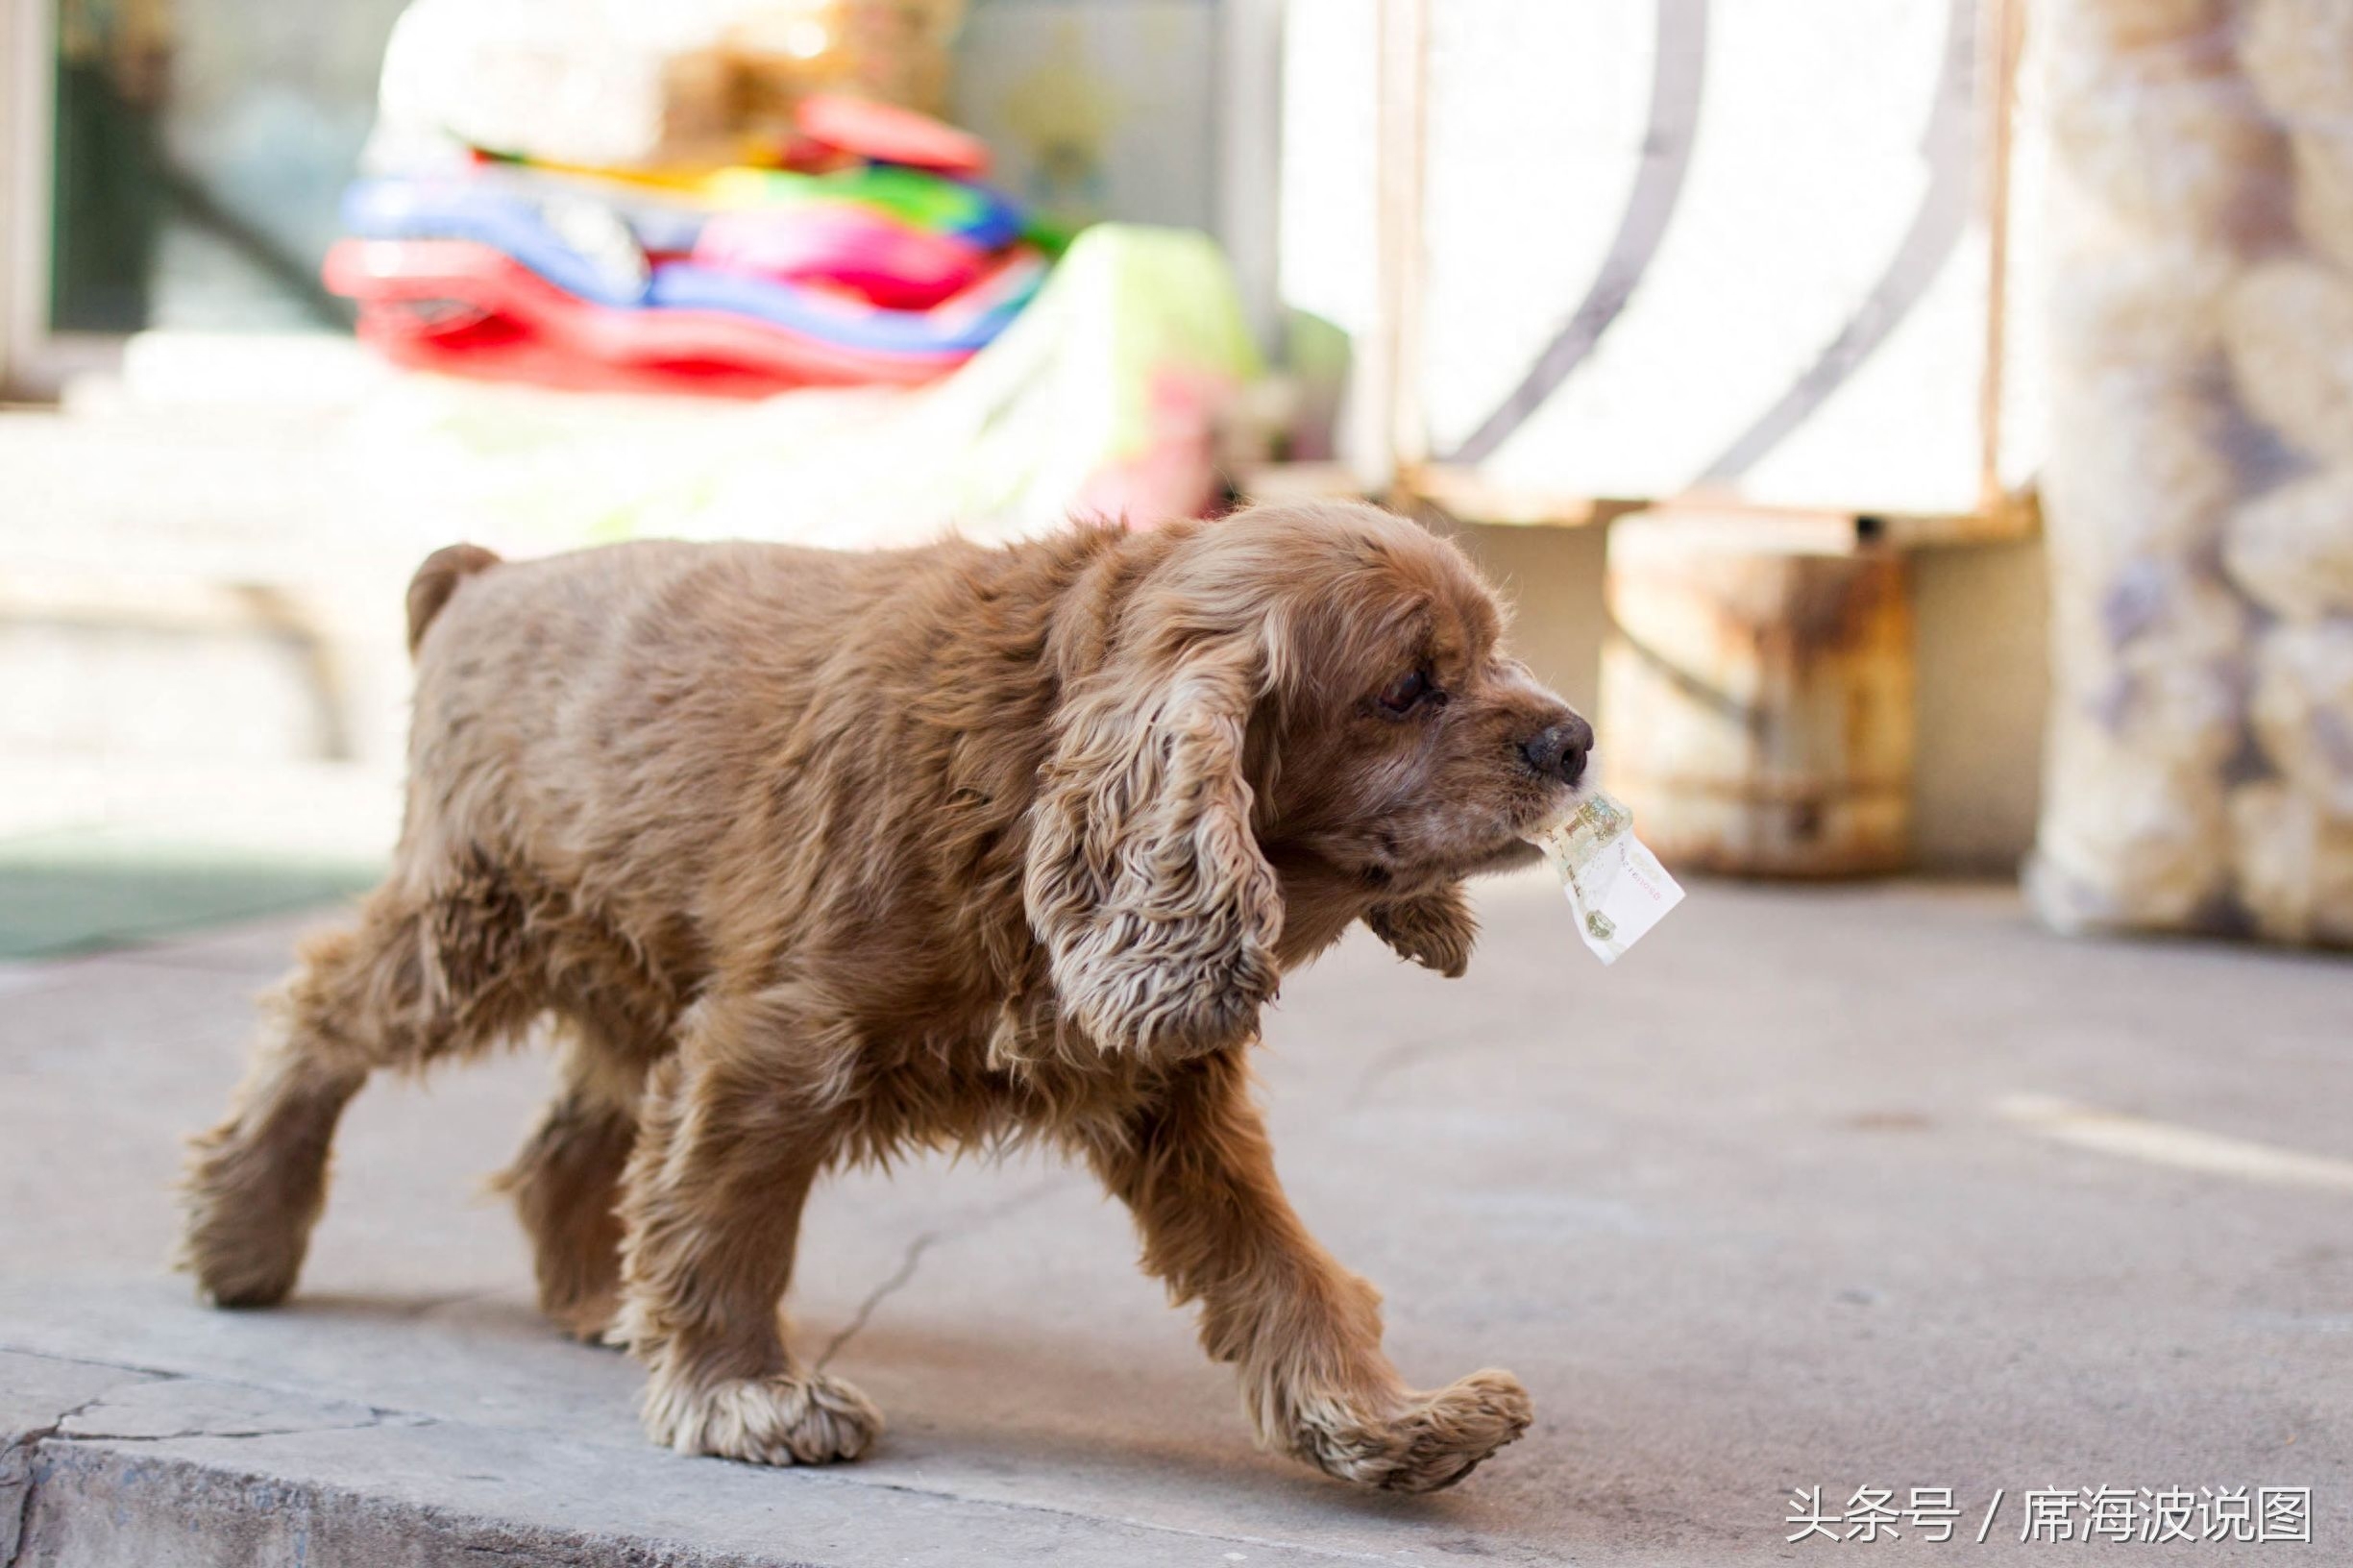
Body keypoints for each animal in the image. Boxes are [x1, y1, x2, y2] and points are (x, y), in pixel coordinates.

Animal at [174, 501, 1590, 1487]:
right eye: (1408, 687)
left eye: (1497, 651)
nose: (1573, 740)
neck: (1028, 757)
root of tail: (485, 574)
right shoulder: (770, 1042)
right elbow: (730, 1220)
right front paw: (746, 1399)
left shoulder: (1167, 1094)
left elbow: (1281, 1270)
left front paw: (1387, 1425)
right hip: (472, 929)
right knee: (315, 1020)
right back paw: (244, 1230)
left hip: (635, 968)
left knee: (565, 1141)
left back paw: (594, 1300)